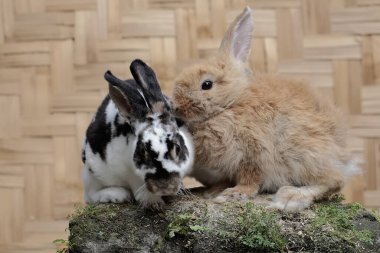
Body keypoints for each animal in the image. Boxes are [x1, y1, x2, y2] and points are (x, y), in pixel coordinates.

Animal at [80, 59, 193, 210]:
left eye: (177, 148)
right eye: (142, 152)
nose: (164, 187)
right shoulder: (127, 169)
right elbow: (137, 184)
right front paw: (153, 202)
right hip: (92, 172)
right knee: (90, 195)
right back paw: (118, 195)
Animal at [172, 6, 360, 211]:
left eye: (206, 84)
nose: (176, 107)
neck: (230, 105)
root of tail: (343, 156)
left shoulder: (254, 154)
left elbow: (250, 179)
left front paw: (234, 194)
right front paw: (213, 192)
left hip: (305, 155)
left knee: (335, 180)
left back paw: (290, 197)